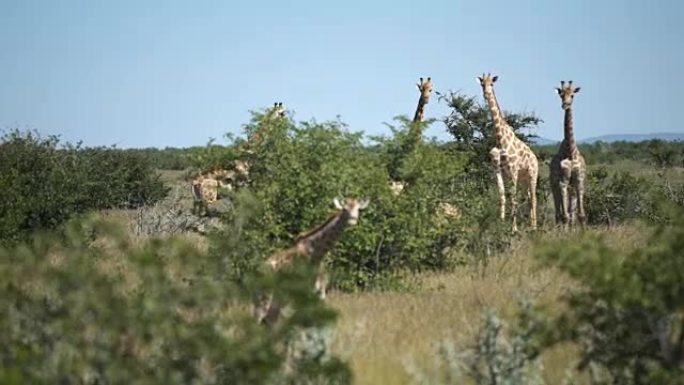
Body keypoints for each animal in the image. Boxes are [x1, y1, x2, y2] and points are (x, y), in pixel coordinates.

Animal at [252, 196, 368, 326]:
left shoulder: (320, 293)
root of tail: (257, 270)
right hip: (264, 296)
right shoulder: (301, 295)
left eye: (358, 209)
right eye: (344, 209)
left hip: (277, 299)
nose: (353, 220)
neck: (316, 256)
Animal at [476, 74, 540, 231]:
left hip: (532, 174)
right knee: (529, 197)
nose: (486, 94)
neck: (500, 141)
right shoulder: (498, 170)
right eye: (482, 83)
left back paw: (534, 227)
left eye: (492, 84)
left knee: (534, 198)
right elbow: (502, 195)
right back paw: (530, 225)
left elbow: (514, 198)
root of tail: (535, 159)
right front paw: (501, 222)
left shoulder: (513, 170)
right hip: (524, 179)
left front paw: (513, 228)